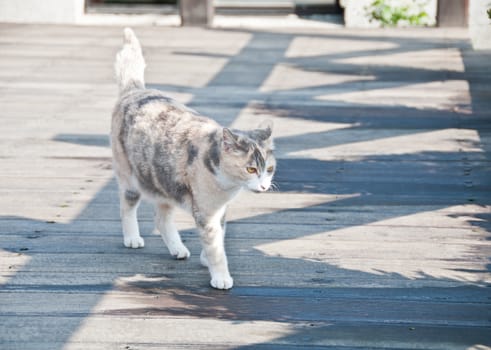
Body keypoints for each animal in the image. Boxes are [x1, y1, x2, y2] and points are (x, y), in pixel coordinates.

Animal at [111, 28, 276, 290]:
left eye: (269, 169)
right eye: (250, 169)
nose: (263, 186)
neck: (226, 187)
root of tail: (135, 91)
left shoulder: (220, 211)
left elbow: (219, 236)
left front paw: (205, 258)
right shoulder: (206, 213)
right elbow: (216, 247)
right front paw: (220, 276)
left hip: (164, 183)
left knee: (161, 218)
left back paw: (177, 249)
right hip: (131, 180)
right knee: (127, 206)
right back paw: (132, 237)